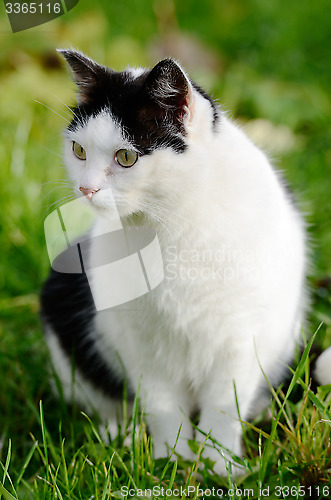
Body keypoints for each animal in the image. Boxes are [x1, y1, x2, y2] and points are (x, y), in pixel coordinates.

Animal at [40, 50, 322, 476]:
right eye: (79, 150)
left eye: (126, 156)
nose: (85, 188)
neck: (170, 225)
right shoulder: (140, 340)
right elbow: (161, 405)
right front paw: (168, 461)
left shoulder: (240, 336)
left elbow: (224, 404)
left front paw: (219, 465)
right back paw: (119, 436)